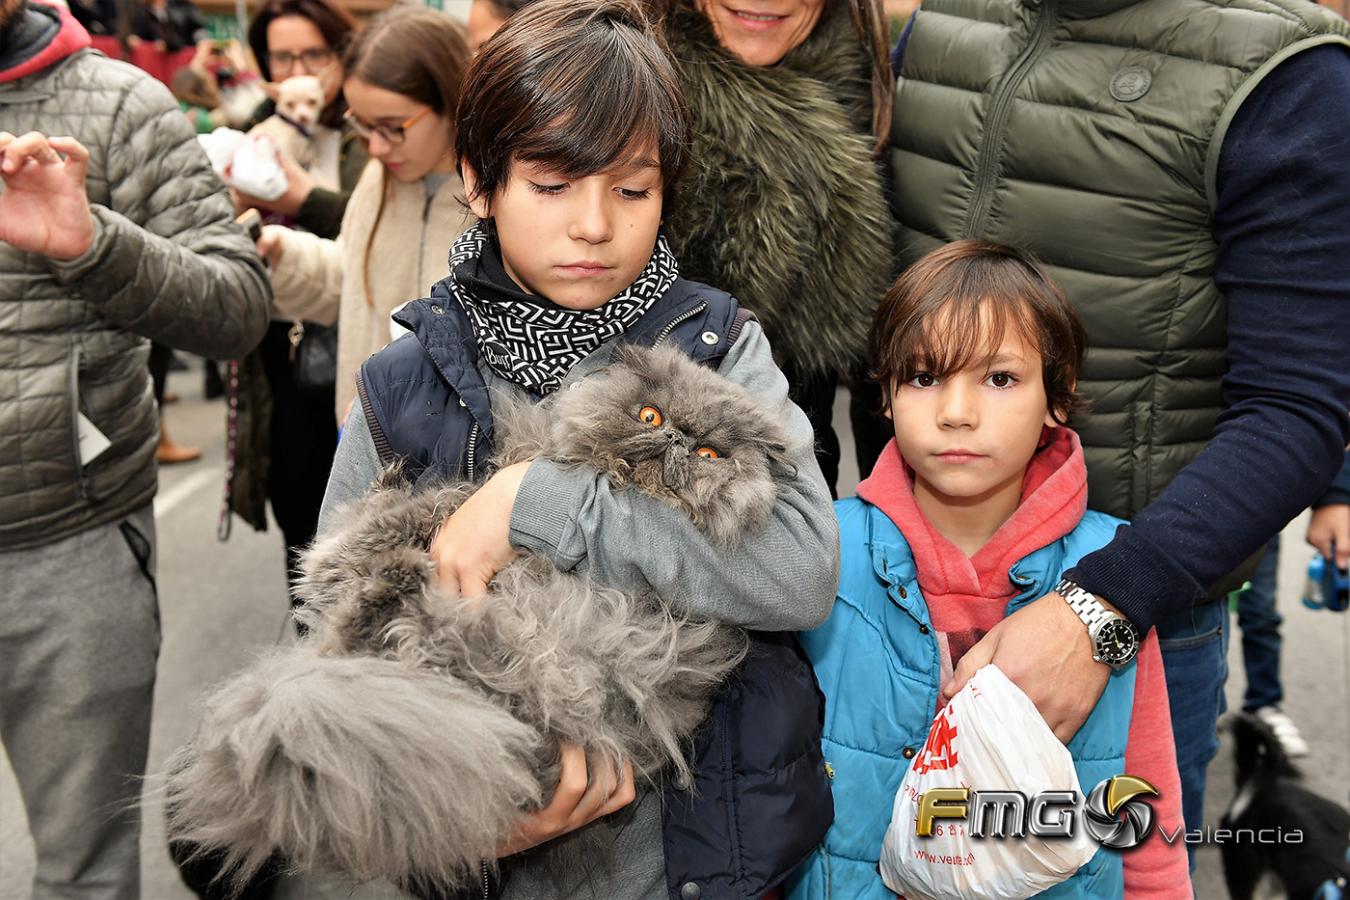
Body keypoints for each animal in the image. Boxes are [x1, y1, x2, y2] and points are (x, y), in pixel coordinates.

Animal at [163, 342, 793, 895]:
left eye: (710, 455)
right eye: (650, 414)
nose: (675, 438)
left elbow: (404, 522)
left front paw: (340, 558)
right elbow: (425, 508)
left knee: (374, 623)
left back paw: (391, 578)